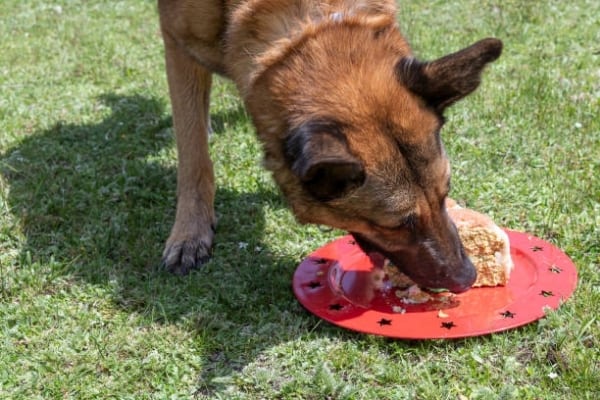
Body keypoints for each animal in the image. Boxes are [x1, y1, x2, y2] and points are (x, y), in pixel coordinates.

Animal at [158, 0, 502, 294]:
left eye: (444, 195)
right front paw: (190, 232)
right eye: (396, 225)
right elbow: (193, 153)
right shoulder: (177, 44)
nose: (467, 278)